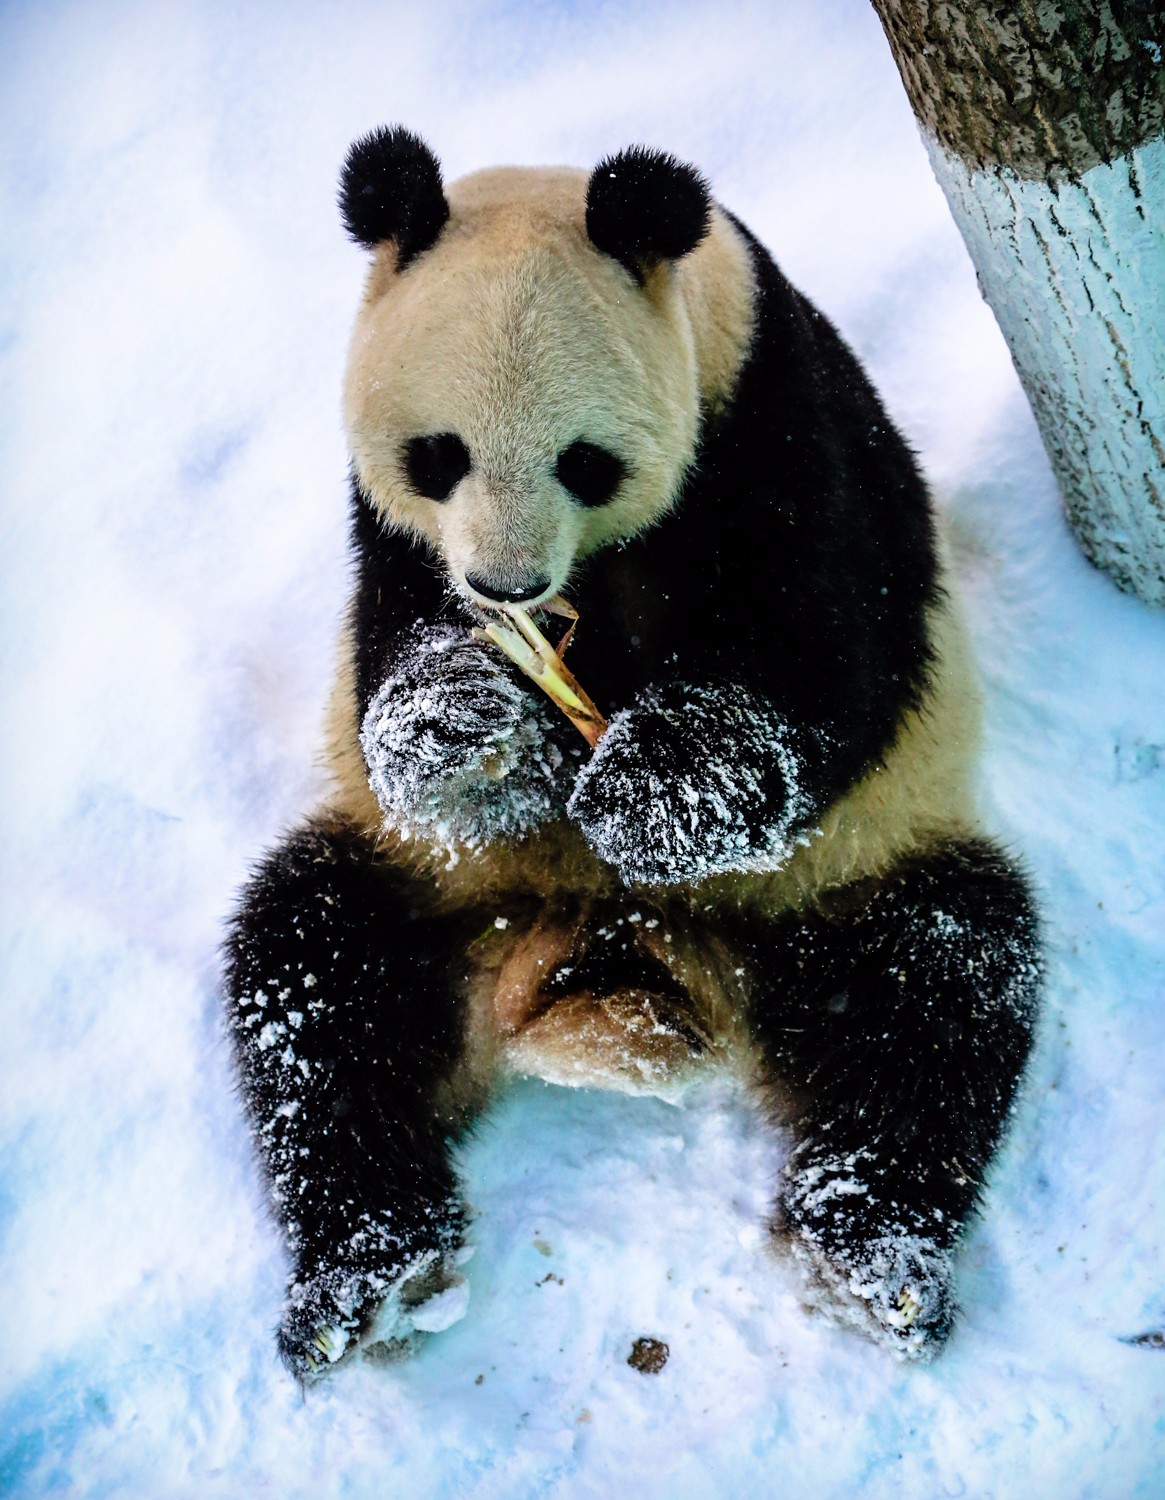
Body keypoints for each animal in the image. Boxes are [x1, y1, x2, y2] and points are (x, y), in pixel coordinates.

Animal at [223, 123, 1043, 1374]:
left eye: (585, 461)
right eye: (437, 454)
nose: (508, 584)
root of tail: (620, 955)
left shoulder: (774, 421)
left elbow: (827, 656)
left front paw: (642, 793)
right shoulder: (389, 534)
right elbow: (391, 658)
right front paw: (477, 735)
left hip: (840, 875)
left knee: (934, 991)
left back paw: (869, 1255)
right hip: (435, 892)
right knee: (315, 984)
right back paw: (367, 1271)